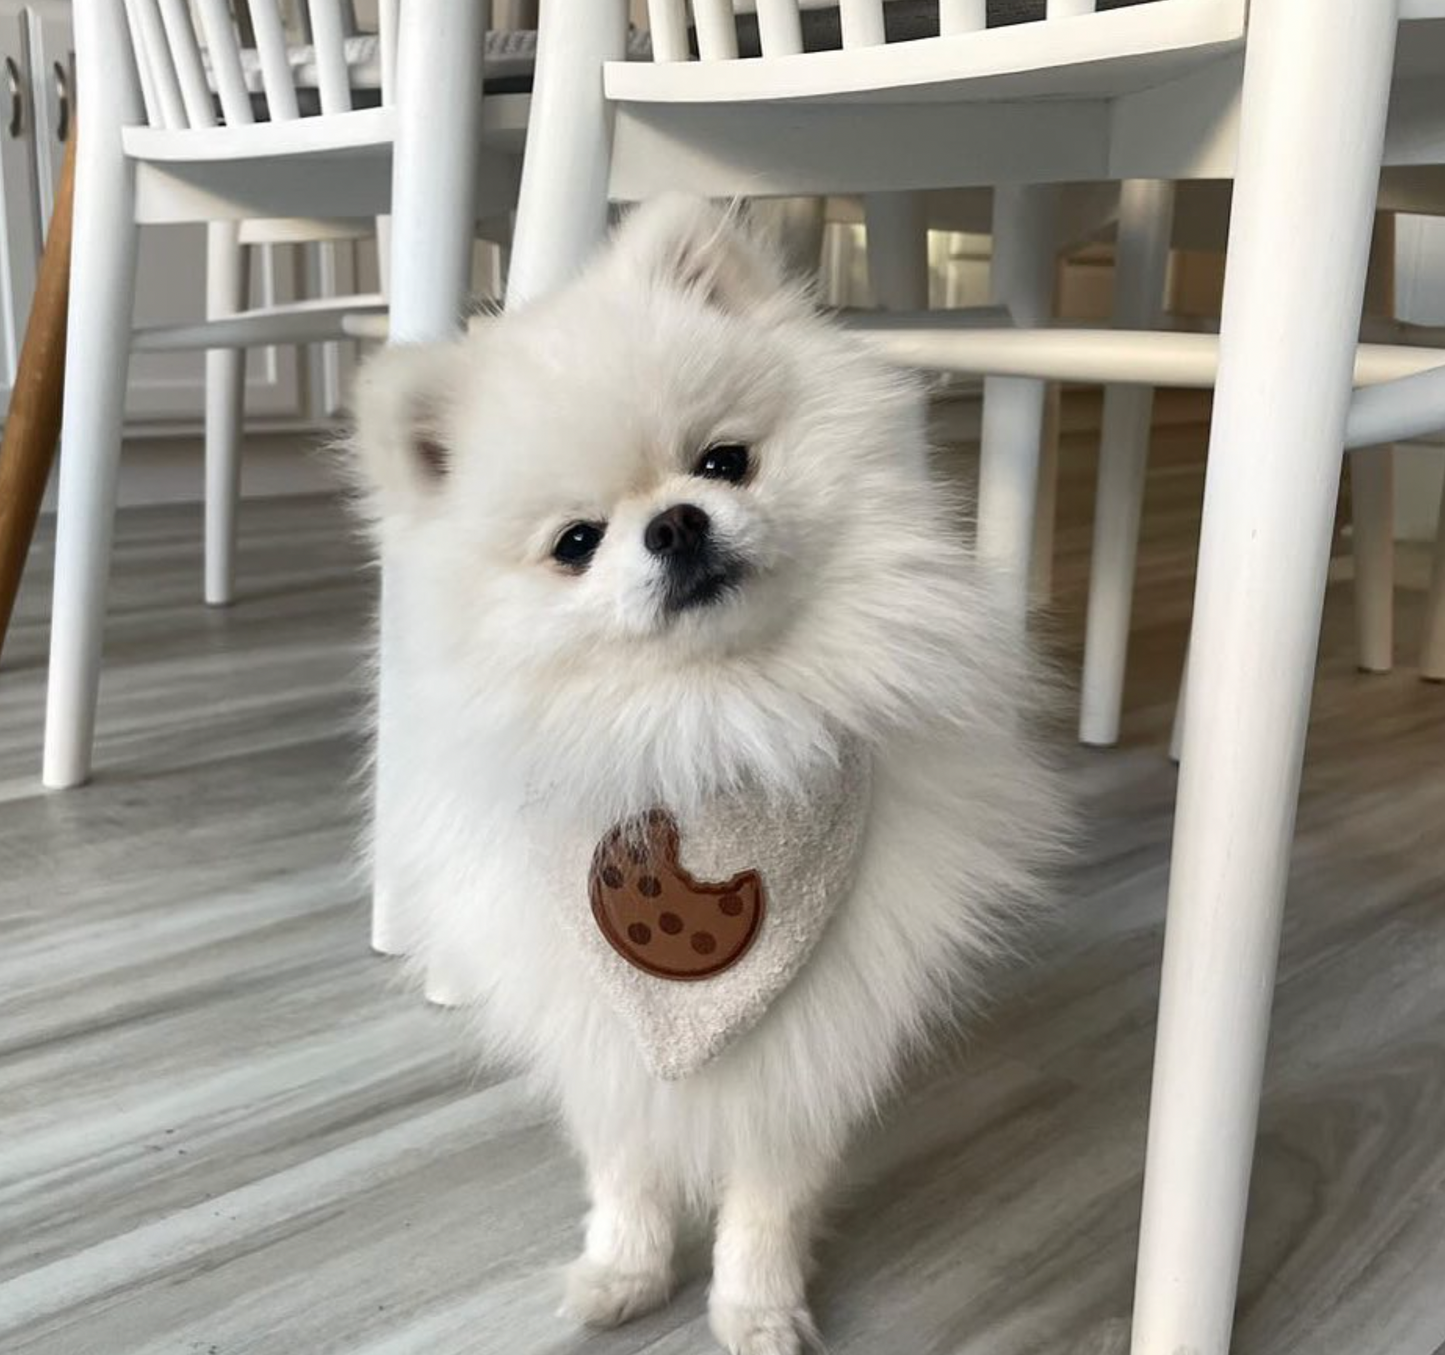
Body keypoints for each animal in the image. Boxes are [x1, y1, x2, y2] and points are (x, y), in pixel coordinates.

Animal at [349, 192, 1069, 1352]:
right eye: (576, 542)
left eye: (725, 461)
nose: (676, 520)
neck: (711, 724)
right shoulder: (605, 1026)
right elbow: (627, 1162)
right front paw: (624, 1269)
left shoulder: (813, 1029)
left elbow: (768, 1191)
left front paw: (755, 1305)